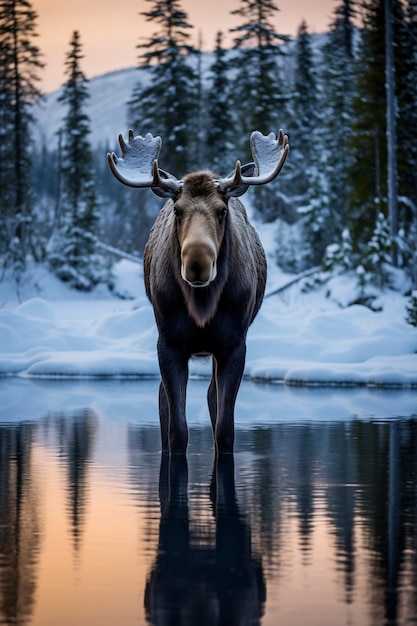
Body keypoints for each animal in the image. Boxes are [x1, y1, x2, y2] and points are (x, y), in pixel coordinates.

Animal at [107, 129, 288, 450]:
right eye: (177, 210)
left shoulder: (233, 344)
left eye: (222, 210)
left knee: (211, 397)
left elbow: (225, 430)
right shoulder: (169, 343)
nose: (197, 263)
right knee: (163, 400)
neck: (202, 304)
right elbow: (176, 429)